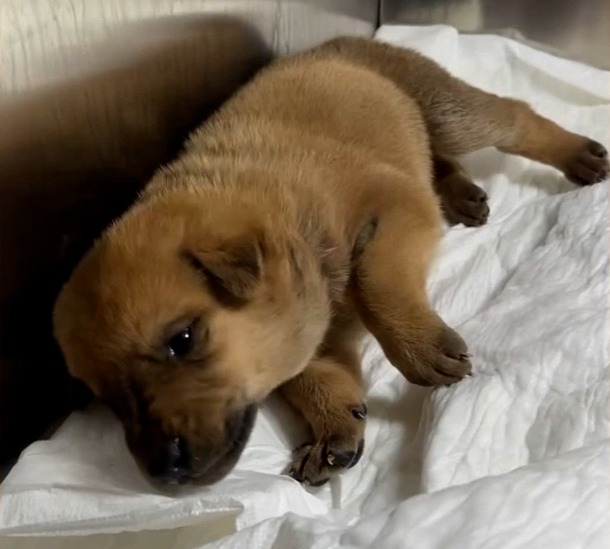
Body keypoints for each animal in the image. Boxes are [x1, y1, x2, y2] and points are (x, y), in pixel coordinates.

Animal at [53, 36, 608, 486]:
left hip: (448, 109)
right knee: (436, 156)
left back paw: (577, 155)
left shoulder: (397, 207)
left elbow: (374, 276)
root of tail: (339, 42)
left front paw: (420, 347)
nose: (164, 472)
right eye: (105, 397)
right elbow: (313, 375)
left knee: (512, 118)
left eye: (183, 340)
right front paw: (335, 426)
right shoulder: (309, 331)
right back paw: (463, 193)